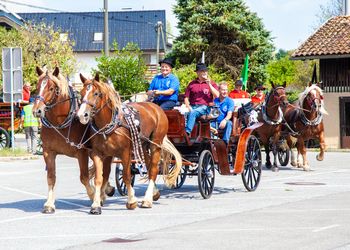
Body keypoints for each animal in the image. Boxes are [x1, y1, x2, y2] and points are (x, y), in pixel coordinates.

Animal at [32, 66, 95, 213]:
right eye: (37, 87)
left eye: (51, 88)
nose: (37, 110)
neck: (60, 122)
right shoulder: (48, 152)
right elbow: (51, 177)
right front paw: (49, 204)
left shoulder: (82, 152)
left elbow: (84, 177)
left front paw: (94, 196)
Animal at [76, 73, 180, 214]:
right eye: (81, 93)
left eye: (96, 93)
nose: (82, 115)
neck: (111, 124)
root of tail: (155, 107)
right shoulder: (100, 153)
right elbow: (100, 178)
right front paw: (96, 204)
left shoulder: (125, 153)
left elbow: (126, 176)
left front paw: (131, 201)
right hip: (142, 145)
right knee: (148, 165)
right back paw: (154, 193)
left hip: (155, 145)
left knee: (153, 169)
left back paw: (147, 200)